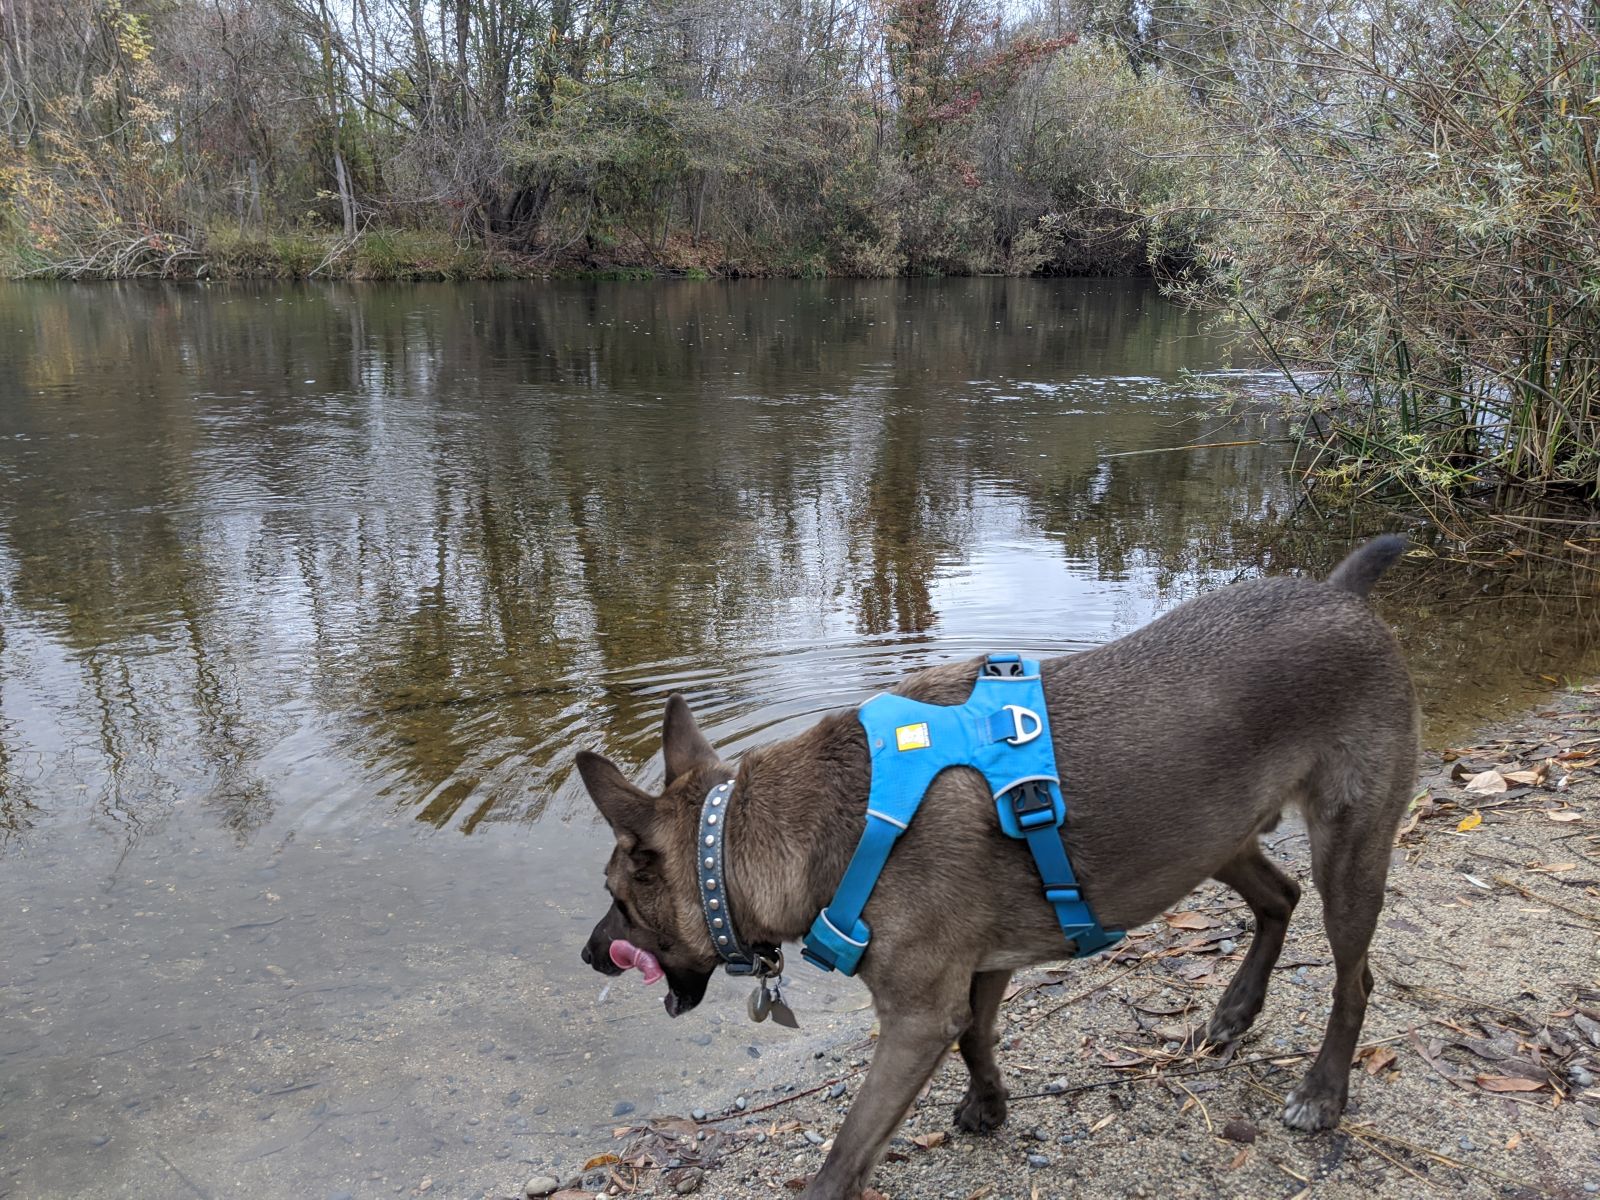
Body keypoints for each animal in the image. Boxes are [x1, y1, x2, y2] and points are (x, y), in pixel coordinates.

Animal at [582, 537, 1420, 1200]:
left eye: (618, 896)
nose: (591, 954)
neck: (817, 819)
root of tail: (1342, 595)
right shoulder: (981, 969)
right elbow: (978, 1042)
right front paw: (989, 1106)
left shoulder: (915, 1018)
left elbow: (847, 1152)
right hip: (1215, 839)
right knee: (1279, 895)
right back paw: (1236, 1009)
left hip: (1349, 852)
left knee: (1354, 980)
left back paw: (1322, 1092)